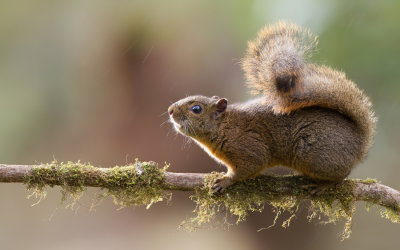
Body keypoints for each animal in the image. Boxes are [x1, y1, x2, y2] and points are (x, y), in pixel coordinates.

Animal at [167, 22, 376, 193]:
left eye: (196, 109)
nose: (170, 110)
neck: (225, 127)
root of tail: (360, 143)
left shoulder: (249, 147)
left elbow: (248, 167)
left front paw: (226, 181)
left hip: (313, 155)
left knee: (341, 176)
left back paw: (323, 185)